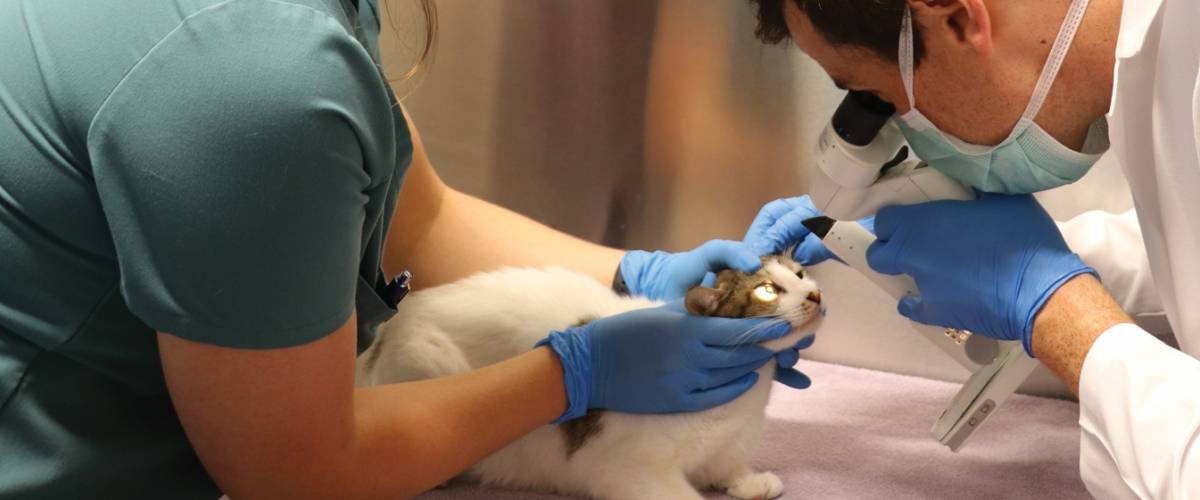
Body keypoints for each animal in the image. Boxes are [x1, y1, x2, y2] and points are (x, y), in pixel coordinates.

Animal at [357, 255, 825, 496]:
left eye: (800, 273)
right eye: (767, 290)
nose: (815, 294)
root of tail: (393, 325)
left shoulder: (729, 447)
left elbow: (730, 468)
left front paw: (749, 481)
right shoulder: (631, 472)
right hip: (430, 361)